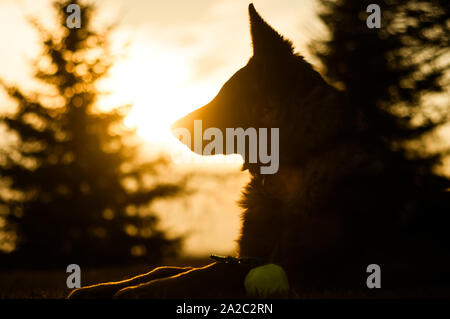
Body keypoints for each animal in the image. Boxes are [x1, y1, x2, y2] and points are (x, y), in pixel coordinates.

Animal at [68, 3, 450, 300]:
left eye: (227, 95)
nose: (172, 127)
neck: (298, 165)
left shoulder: (288, 267)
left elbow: (200, 274)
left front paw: (135, 292)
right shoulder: (245, 256)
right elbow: (166, 266)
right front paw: (102, 287)